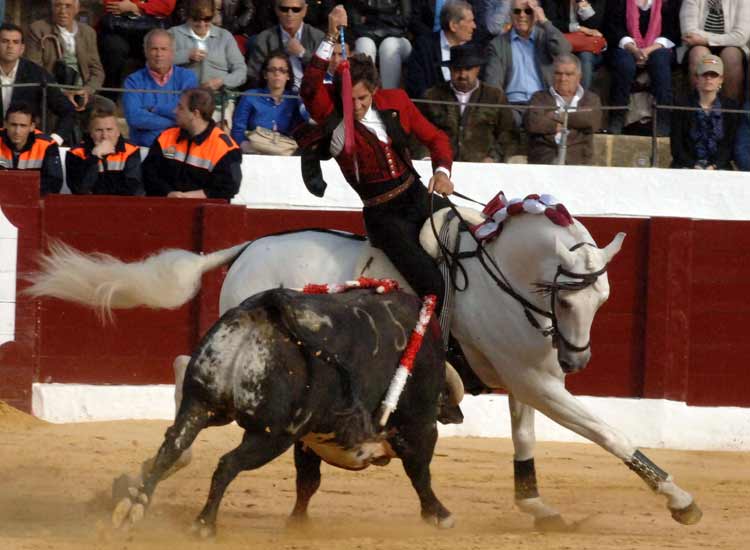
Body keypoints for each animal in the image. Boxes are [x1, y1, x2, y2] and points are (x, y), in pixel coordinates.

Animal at [119, 288, 452, 536]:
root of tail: (265, 307)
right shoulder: (420, 425)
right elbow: (420, 472)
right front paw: (439, 514)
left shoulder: (308, 439)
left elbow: (307, 481)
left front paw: (297, 524)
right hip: (272, 435)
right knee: (228, 464)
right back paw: (203, 524)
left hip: (200, 402)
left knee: (171, 448)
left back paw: (136, 509)